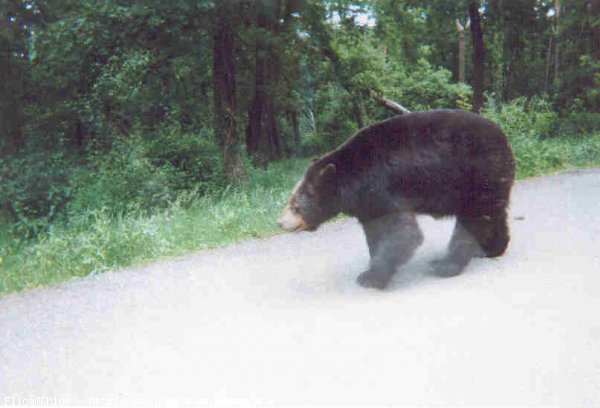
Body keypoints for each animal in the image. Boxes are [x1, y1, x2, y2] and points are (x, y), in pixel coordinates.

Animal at [278, 108, 516, 290]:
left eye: (296, 205)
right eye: (290, 199)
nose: (280, 222)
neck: (352, 178)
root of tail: (504, 138)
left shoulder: (382, 188)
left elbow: (402, 232)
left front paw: (372, 277)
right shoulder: (368, 205)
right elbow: (375, 233)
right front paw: (372, 266)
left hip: (476, 175)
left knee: (473, 219)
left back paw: (447, 264)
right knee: (494, 214)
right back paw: (493, 248)